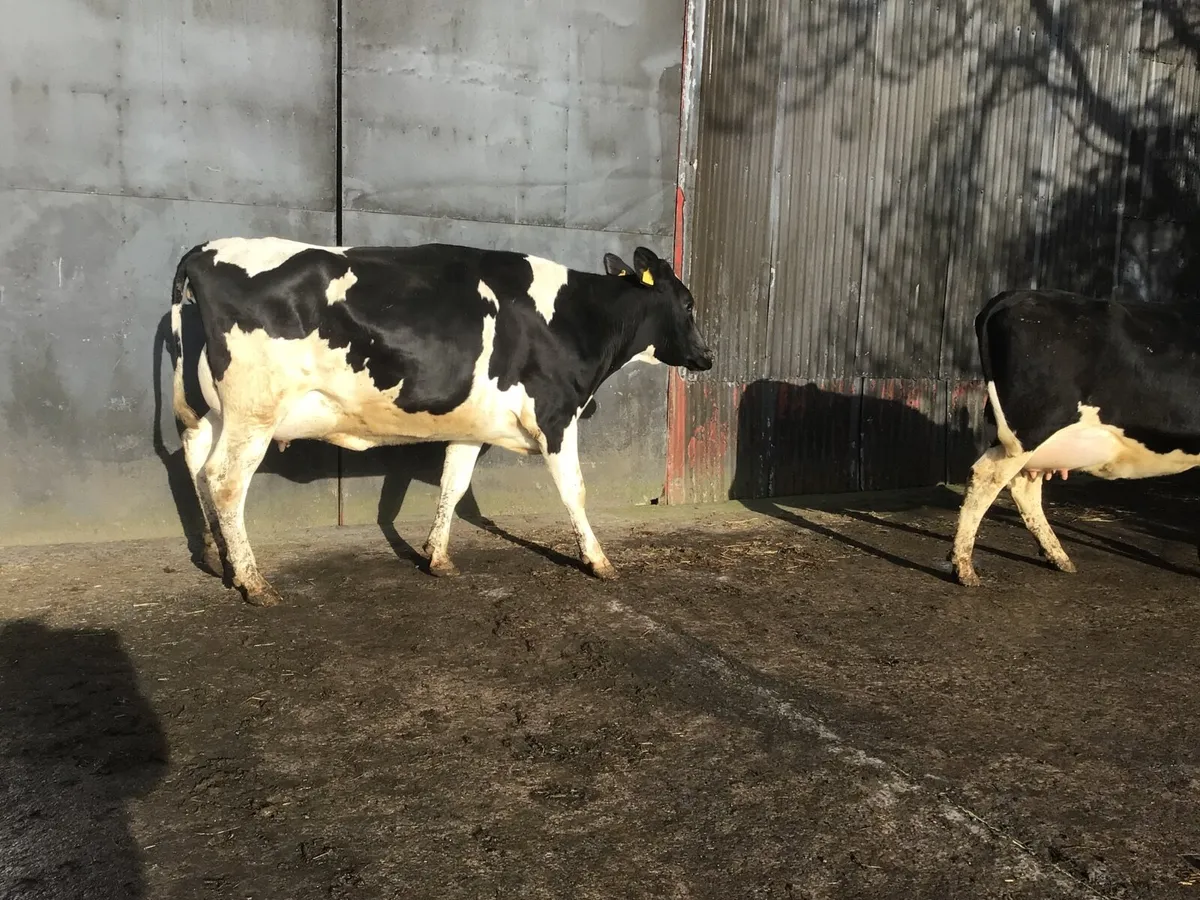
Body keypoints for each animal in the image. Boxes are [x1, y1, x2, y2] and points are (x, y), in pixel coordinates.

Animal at [169, 237, 713, 605]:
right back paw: (253, 581)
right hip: (255, 410)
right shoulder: (557, 416)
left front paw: (437, 556)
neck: (575, 317)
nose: (708, 356)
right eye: (688, 303)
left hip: (218, 410)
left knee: (194, 458)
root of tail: (206, 249)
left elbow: (453, 484)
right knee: (225, 481)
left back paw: (220, 559)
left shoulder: (471, 425)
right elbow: (574, 491)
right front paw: (598, 562)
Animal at [951, 288, 1200, 586]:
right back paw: (964, 567)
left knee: (1022, 487)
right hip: (1030, 429)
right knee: (986, 477)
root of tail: (1014, 295)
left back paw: (1057, 557)